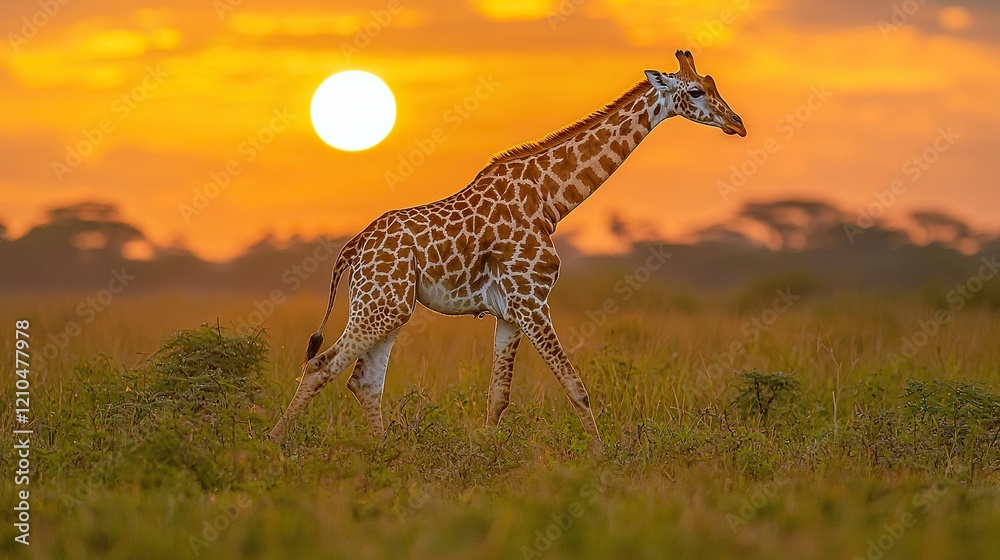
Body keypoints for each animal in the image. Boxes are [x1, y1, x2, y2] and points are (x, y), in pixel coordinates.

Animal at [269, 50, 746, 452]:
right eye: (695, 92)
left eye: (713, 84)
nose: (738, 124)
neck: (552, 199)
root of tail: (353, 249)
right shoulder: (532, 300)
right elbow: (575, 387)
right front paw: (603, 456)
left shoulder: (509, 310)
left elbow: (497, 397)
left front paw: (485, 455)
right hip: (381, 305)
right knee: (322, 365)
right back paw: (273, 443)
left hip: (390, 306)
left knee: (363, 381)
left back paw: (385, 452)